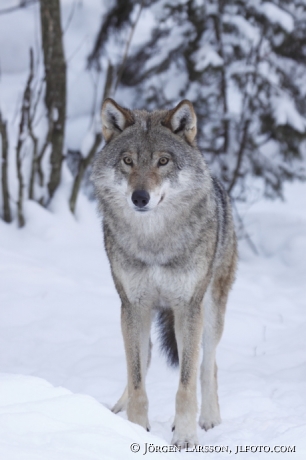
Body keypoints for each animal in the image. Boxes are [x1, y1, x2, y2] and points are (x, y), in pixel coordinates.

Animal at [92, 97, 238, 446]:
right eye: (128, 161)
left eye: (163, 161)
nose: (140, 197)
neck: (155, 242)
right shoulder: (133, 306)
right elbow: (137, 381)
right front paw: (133, 429)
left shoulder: (188, 307)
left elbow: (186, 385)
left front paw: (185, 437)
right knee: (142, 363)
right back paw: (116, 409)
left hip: (209, 313)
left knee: (207, 365)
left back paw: (209, 418)